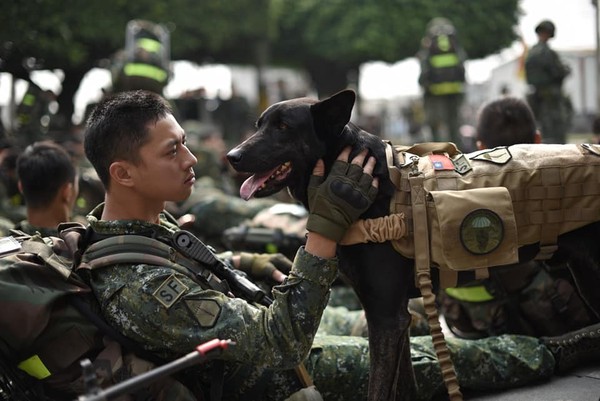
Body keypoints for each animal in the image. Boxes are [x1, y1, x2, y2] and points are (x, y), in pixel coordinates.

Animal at [224, 89, 600, 398]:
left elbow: (378, 390)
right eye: (259, 125)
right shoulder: (396, 317)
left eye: (283, 127)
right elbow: (405, 385)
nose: (232, 156)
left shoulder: (385, 318)